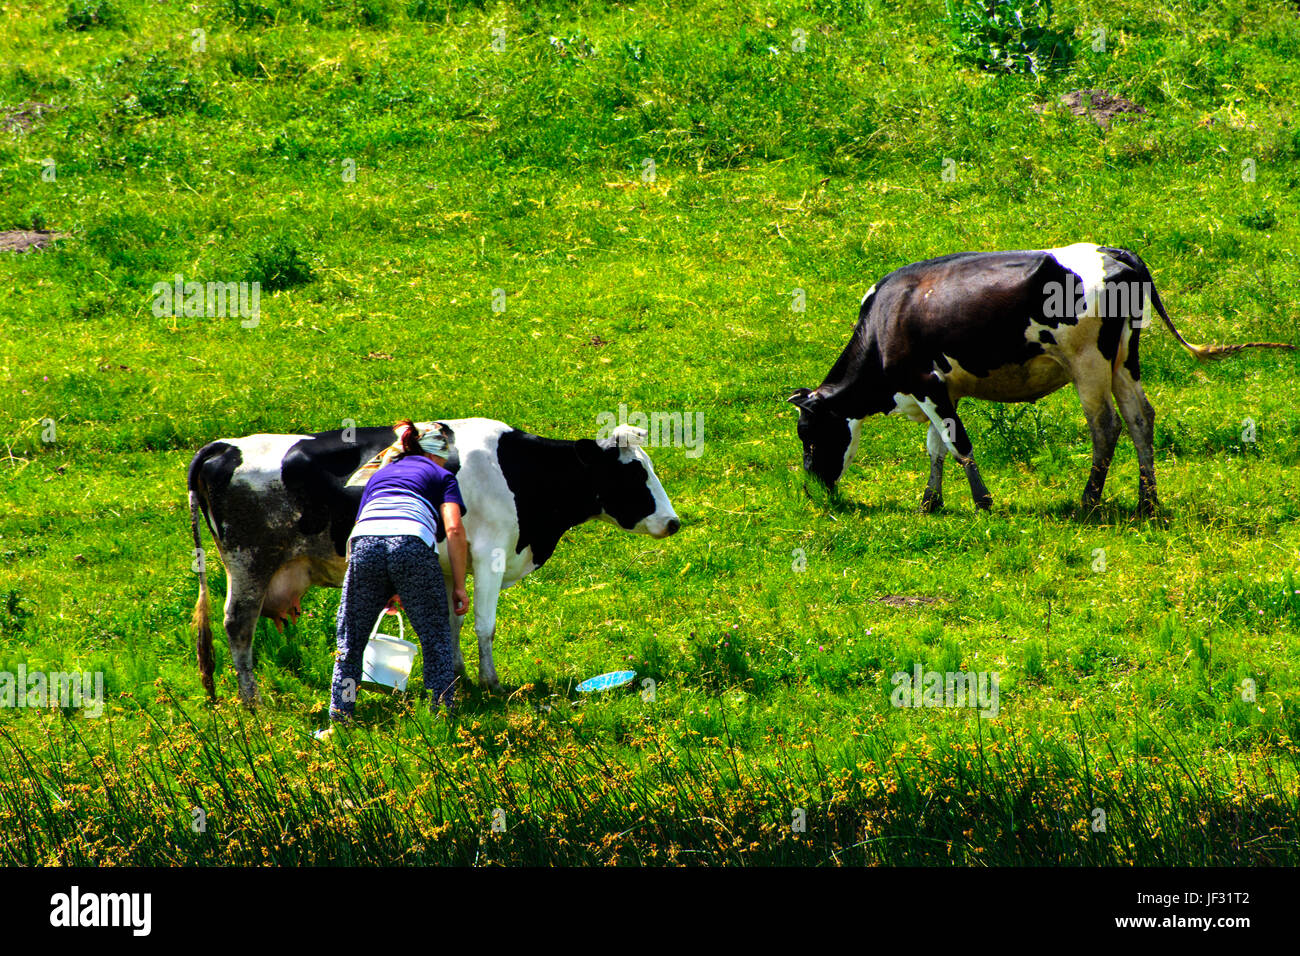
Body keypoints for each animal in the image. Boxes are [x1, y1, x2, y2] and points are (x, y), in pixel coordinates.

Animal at [191, 418, 686, 702]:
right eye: (632, 474)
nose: (673, 522)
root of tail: (224, 447)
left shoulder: (453, 564)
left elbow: (453, 621)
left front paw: (457, 676)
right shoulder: (491, 554)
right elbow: (485, 625)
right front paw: (491, 683)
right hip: (249, 563)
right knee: (238, 627)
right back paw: (252, 701)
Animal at [785, 244, 1294, 515]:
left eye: (808, 434)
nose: (815, 489)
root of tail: (1115, 252)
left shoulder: (928, 384)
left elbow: (958, 443)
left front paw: (982, 501)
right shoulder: (940, 389)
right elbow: (937, 447)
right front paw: (930, 502)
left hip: (1088, 363)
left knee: (1105, 426)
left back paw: (1088, 501)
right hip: (1124, 360)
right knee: (1140, 419)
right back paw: (1146, 501)